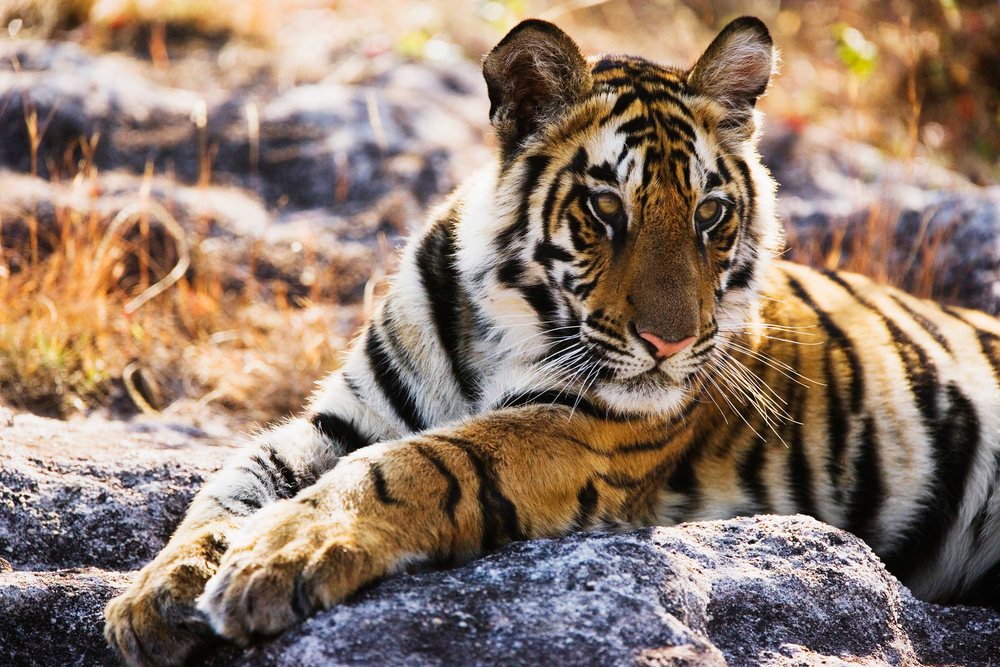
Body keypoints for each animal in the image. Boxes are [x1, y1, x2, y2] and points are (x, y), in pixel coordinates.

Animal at [104, 16, 1000, 666]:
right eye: (607, 209)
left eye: (711, 214)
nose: (670, 344)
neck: (496, 322)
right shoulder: (343, 416)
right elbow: (232, 482)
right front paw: (157, 594)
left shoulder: (584, 429)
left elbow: (412, 465)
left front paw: (276, 560)